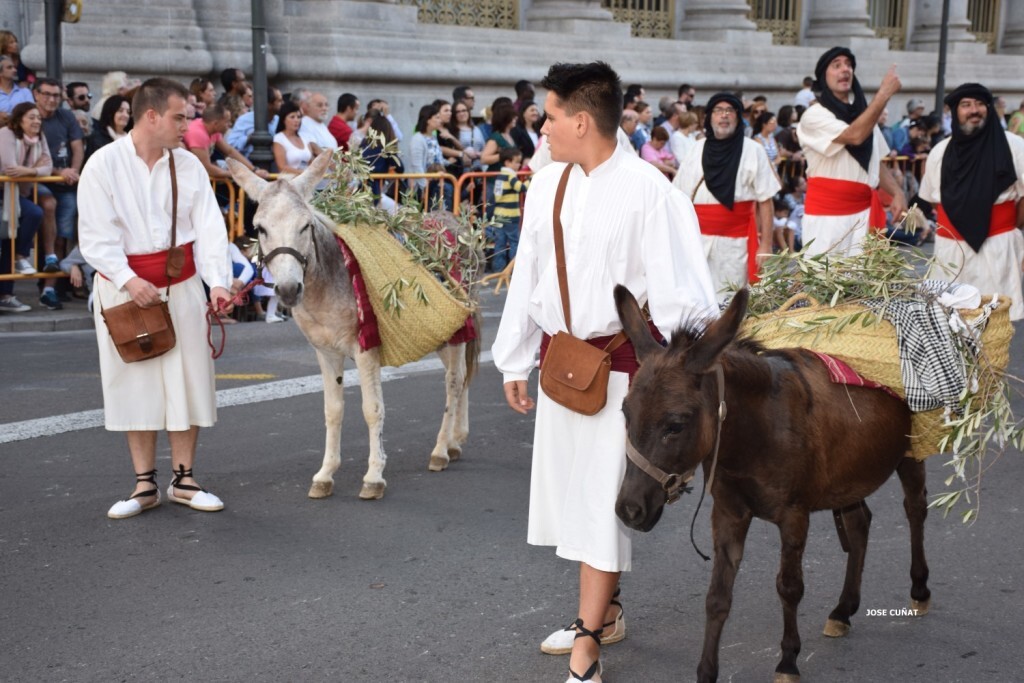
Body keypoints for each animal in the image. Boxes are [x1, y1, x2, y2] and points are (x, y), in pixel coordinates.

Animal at [228, 154, 480, 500]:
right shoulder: (325, 353)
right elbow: (333, 410)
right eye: (260, 228)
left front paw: (373, 477)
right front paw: (325, 475)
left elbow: (372, 409)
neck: (327, 285)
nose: (289, 290)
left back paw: (441, 450)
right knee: (462, 378)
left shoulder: (365, 350)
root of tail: (453, 219)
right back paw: (456, 441)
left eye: (305, 225)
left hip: (454, 328)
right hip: (440, 337)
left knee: (453, 382)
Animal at [612, 285, 930, 683]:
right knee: (859, 524)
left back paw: (919, 588)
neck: (754, 434)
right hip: (849, 474)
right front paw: (706, 671)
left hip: (912, 451)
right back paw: (843, 610)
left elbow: (789, 587)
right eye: (625, 412)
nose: (629, 509)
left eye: (676, 424)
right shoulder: (728, 514)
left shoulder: (794, 516)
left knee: (915, 508)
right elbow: (717, 597)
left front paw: (788, 660)